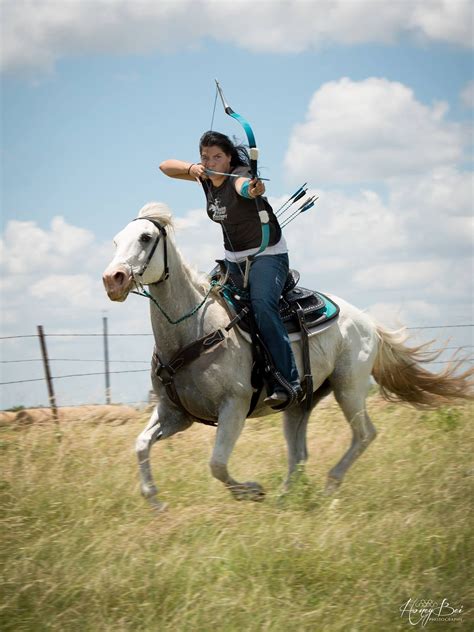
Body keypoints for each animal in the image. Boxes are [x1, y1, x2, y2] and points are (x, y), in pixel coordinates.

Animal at [103, 205, 470, 512]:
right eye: (116, 240)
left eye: (146, 237)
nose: (112, 279)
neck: (196, 330)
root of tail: (368, 322)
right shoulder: (176, 414)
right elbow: (141, 444)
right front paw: (155, 501)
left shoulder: (233, 407)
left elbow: (217, 464)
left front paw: (252, 490)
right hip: (300, 402)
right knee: (299, 454)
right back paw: (287, 497)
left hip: (349, 387)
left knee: (364, 434)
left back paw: (328, 486)